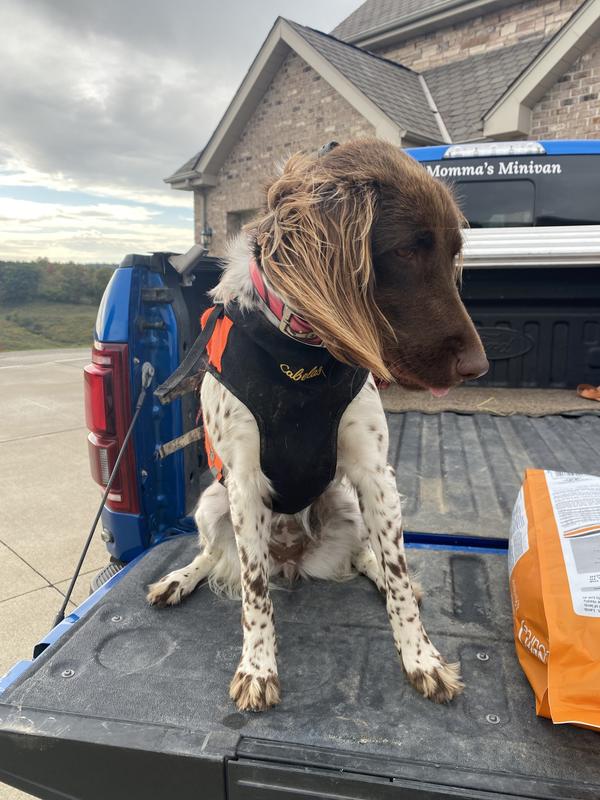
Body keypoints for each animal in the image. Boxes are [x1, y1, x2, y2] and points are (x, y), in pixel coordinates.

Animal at [148, 139, 490, 712]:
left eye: (451, 253)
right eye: (406, 251)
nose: (479, 368)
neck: (300, 352)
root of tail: (292, 558)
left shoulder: (375, 474)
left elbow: (397, 572)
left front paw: (422, 658)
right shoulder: (242, 484)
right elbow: (253, 590)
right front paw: (258, 667)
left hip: (347, 505)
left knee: (366, 555)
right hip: (212, 503)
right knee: (215, 555)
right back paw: (179, 578)